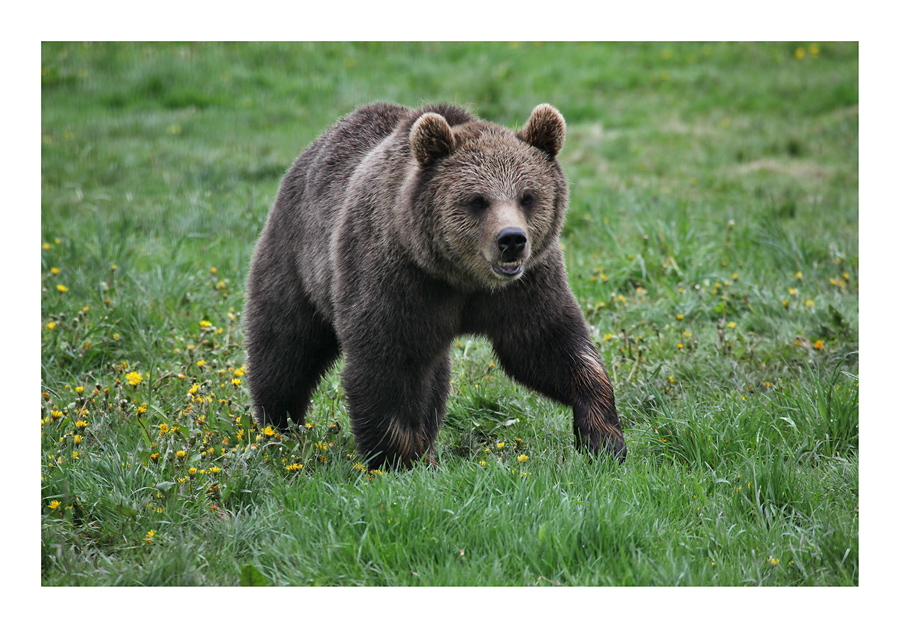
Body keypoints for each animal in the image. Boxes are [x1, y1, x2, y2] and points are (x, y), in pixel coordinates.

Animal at [244, 103, 624, 466]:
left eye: (527, 196)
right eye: (477, 200)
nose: (512, 240)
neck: (461, 277)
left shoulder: (524, 288)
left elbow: (550, 346)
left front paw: (602, 437)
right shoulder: (400, 282)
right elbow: (389, 365)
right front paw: (402, 458)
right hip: (296, 259)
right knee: (286, 347)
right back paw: (279, 426)